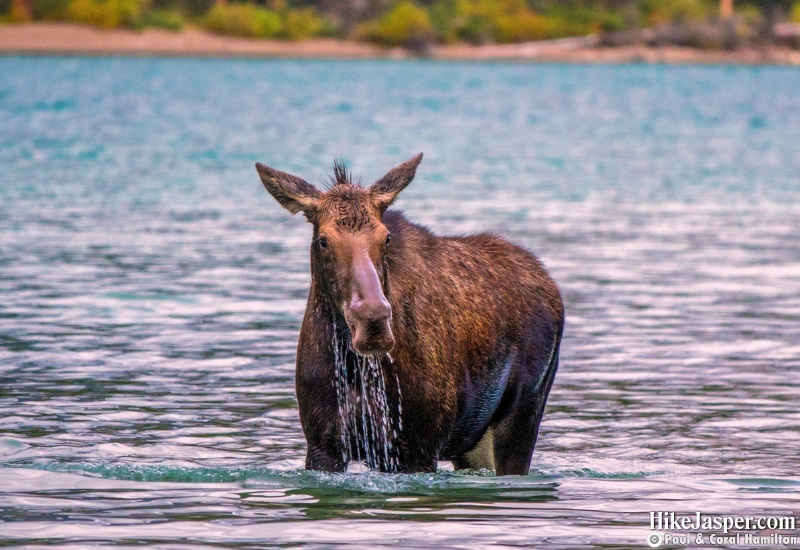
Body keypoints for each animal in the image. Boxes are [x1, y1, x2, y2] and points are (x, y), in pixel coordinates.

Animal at [256, 153, 564, 476]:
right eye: (323, 240)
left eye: (386, 237)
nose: (373, 322)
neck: (354, 368)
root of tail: (549, 282)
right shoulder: (322, 445)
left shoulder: (419, 448)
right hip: (472, 441)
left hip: (523, 413)